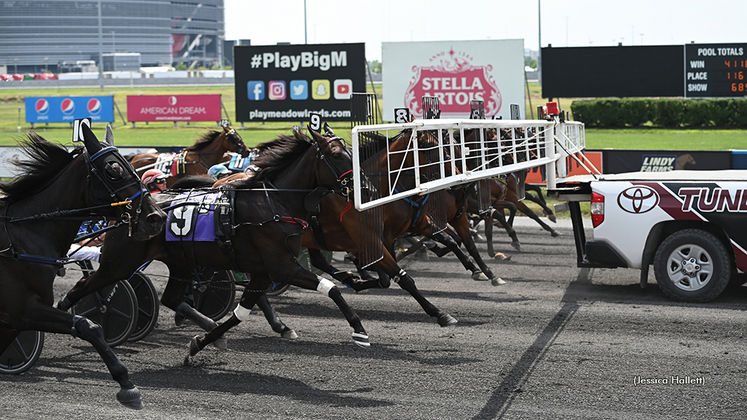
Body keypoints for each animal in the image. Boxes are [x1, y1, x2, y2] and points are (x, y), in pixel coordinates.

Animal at [0, 125, 165, 410]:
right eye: (113, 169)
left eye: (131, 164)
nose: (156, 217)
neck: (21, 235)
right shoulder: (22, 310)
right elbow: (90, 326)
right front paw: (127, 384)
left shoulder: (12, 321)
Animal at [54, 124, 372, 358]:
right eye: (336, 154)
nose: (366, 186)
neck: (274, 202)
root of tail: (127, 211)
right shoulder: (281, 266)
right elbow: (331, 289)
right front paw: (359, 330)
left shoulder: (262, 271)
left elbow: (241, 312)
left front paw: (203, 341)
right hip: (119, 263)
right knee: (83, 288)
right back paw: (65, 318)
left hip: (179, 262)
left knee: (171, 299)